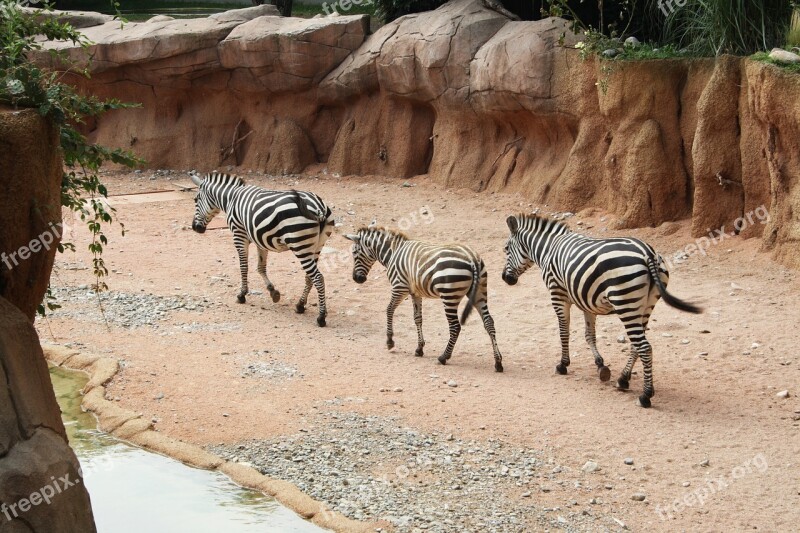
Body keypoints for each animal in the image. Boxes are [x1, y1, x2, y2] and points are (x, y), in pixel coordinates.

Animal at [189, 172, 332, 326]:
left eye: (196, 199)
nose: (195, 228)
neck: (231, 198)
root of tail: (318, 207)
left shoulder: (239, 235)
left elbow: (243, 267)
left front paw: (242, 294)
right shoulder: (261, 239)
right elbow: (260, 268)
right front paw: (273, 291)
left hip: (300, 245)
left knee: (318, 277)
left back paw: (321, 317)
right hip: (316, 246)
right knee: (309, 277)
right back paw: (300, 305)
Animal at [342, 227, 504, 372]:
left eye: (354, 253)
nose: (357, 279)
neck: (393, 252)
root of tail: (472, 259)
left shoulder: (399, 287)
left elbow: (389, 310)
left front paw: (390, 341)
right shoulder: (415, 293)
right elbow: (418, 318)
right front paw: (419, 348)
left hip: (449, 295)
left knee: (455, 327)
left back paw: (443, 357)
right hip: (479, 293)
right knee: (489, 323)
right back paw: (498, 362)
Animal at [504, 214, 704, 406]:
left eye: (506, 249)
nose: (505, 278)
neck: (548, 248)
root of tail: (648, 252)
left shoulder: (557, 295)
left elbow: (563, 332)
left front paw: (563, 365)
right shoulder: (585, 300)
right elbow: (589, 335)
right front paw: (600, 365)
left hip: (626, 303)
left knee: (644, 347)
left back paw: (645, 396)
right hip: (646, 305)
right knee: (636, 345)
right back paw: (623, 379)